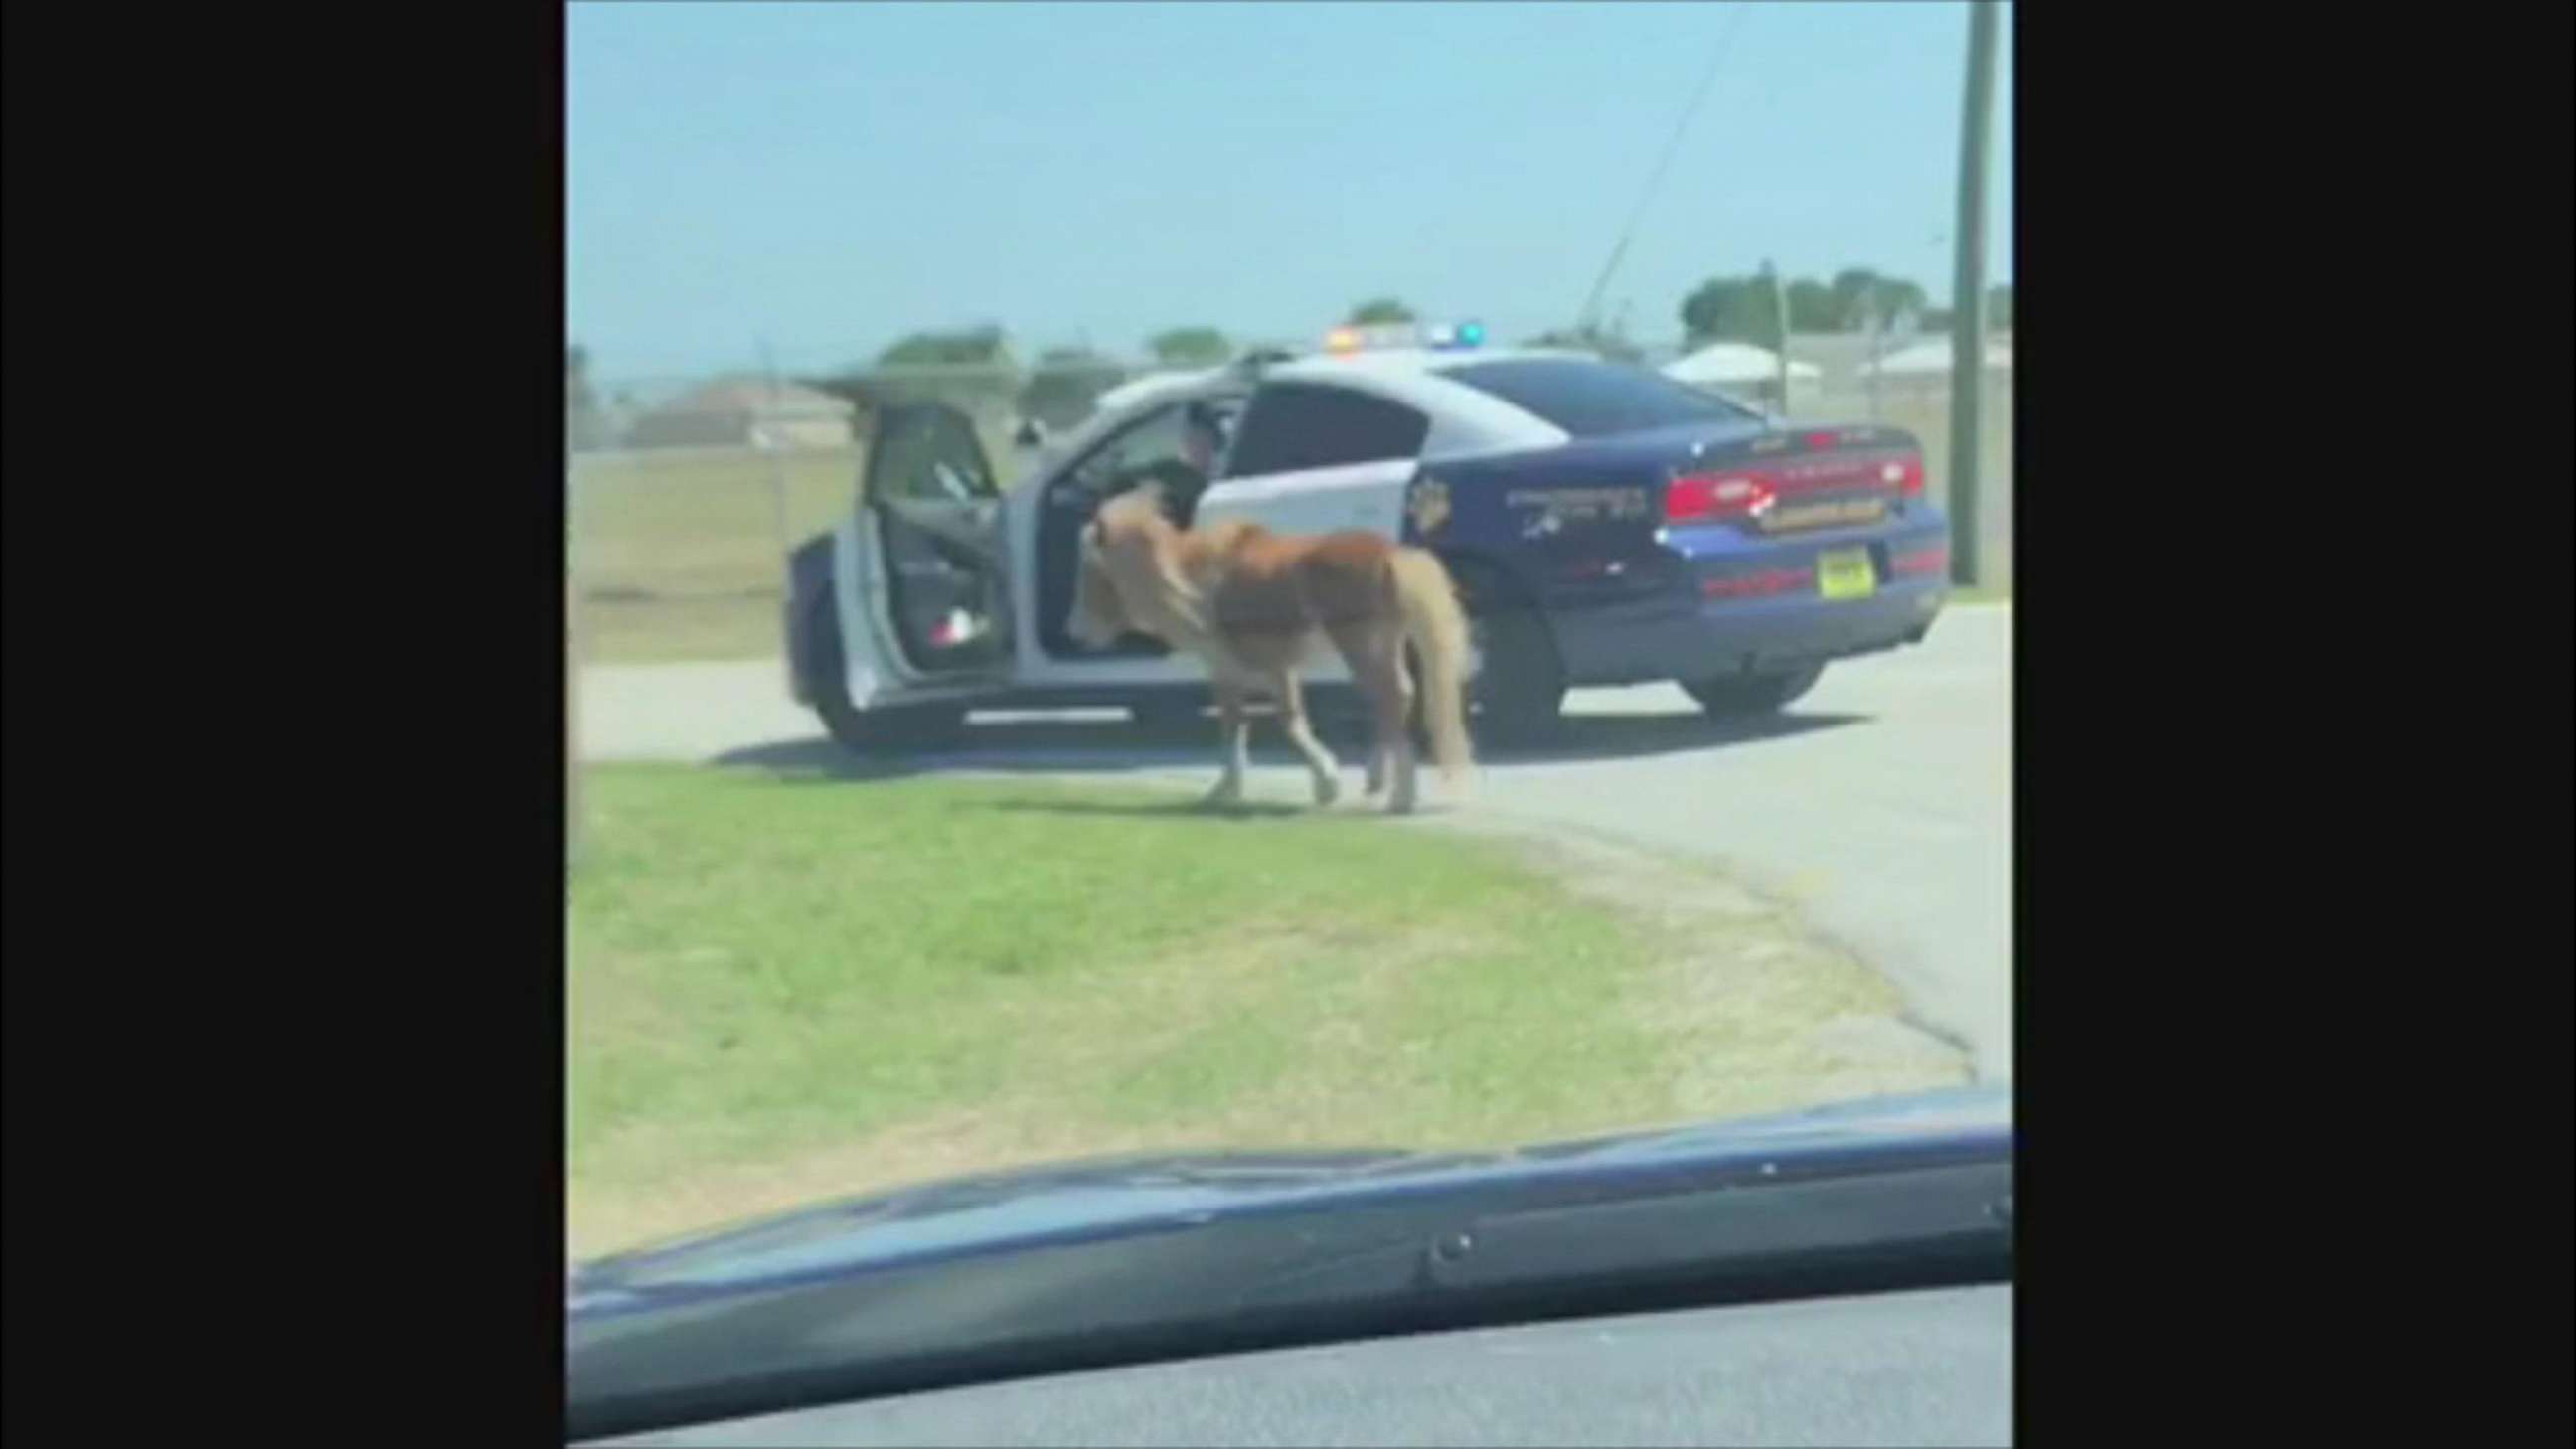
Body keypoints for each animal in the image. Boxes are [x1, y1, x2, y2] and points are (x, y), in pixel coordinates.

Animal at [1066, 487, 1473, 814]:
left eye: (1091, 571)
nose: (1075, 632)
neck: (1196, 582)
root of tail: (1391, 553)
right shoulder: (1253, 669)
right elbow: (1261, 723)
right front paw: (1238, 788)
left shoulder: (1249, 667)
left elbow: (1263, 723)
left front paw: (1317, 785)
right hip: (1384, 646)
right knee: (1395, 697)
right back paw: (1382, 784)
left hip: (1362, 647)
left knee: (1390, 696)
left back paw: (1399, 796)